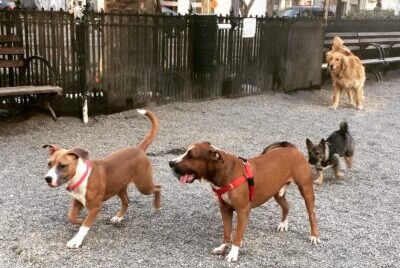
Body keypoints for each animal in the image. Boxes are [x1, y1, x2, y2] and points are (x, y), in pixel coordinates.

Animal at [42, 109, 161, 249]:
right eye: (49, 164)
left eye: (62, 166)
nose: (47, 178)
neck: (80, 176)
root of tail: (139, 149)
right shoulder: (77, 201)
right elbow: (70, 216)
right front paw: (79, 220)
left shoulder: (95, 208)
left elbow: (85, 225)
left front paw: (76, 239)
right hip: (119, 186)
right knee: (126, 201)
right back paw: (118, 217)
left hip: (143, 185)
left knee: (158, 187)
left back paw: (157, 206)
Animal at [168, 141, 318, 262]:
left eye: (191, 155)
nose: (171, 162)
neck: (225, 172)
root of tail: (293, 149)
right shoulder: (225, 209)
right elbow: (227, 232)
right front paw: (223, 247)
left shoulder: (242, 211)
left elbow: (237, 235)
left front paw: (233, 254)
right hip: (277, 192)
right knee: (286, 206)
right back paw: (283, 224)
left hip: (306, 190)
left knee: (311, 214)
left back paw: (314, 236)